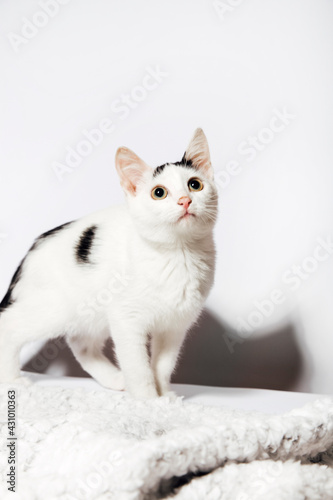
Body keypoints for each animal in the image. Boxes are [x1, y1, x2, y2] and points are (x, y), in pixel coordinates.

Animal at [0, 128, 218, 398]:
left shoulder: (175, 326)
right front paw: (146, 399)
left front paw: (165, 396)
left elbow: (163, 365)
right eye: (159, 193)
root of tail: (30, 251)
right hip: (53, 309)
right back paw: (11, 380)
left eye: (195, 185)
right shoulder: (126, 318)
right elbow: (138, 365)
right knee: (8, 325)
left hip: (91, 312)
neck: (179, 253)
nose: (185, 201)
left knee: (81, 344)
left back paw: (115, 379)